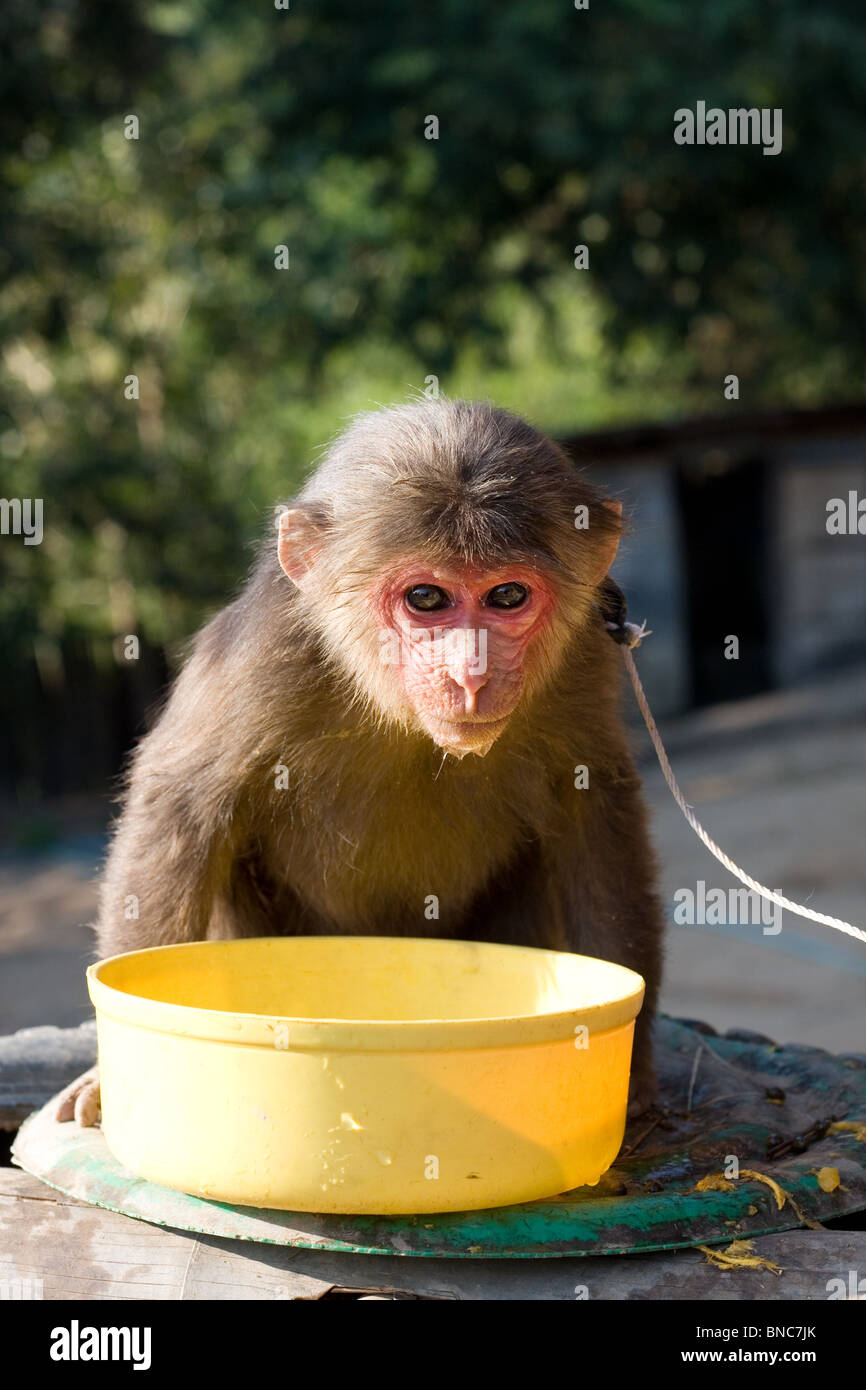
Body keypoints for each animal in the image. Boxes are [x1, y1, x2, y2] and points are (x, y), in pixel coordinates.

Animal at [55, 400, 664, 1128]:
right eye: (426, 600)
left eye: (507, 597)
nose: (470, 673)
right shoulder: (266, 648)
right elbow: (182, 805)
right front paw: (109, 1071)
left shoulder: (582, 654)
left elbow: (593, 811)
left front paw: (629, 1066)